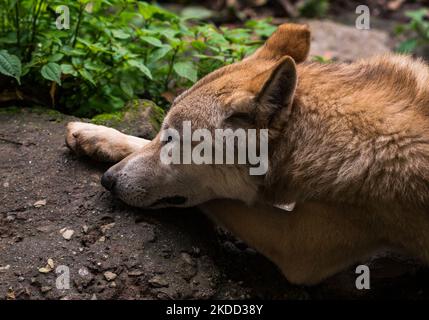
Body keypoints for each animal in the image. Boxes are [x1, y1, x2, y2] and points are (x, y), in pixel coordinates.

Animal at [65, 23, 428, 284]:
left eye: (173, 139)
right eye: (163, 132)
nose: (108, 181)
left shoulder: (297, 247)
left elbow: (221, 198)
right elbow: (139, 143)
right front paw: (97, 136)